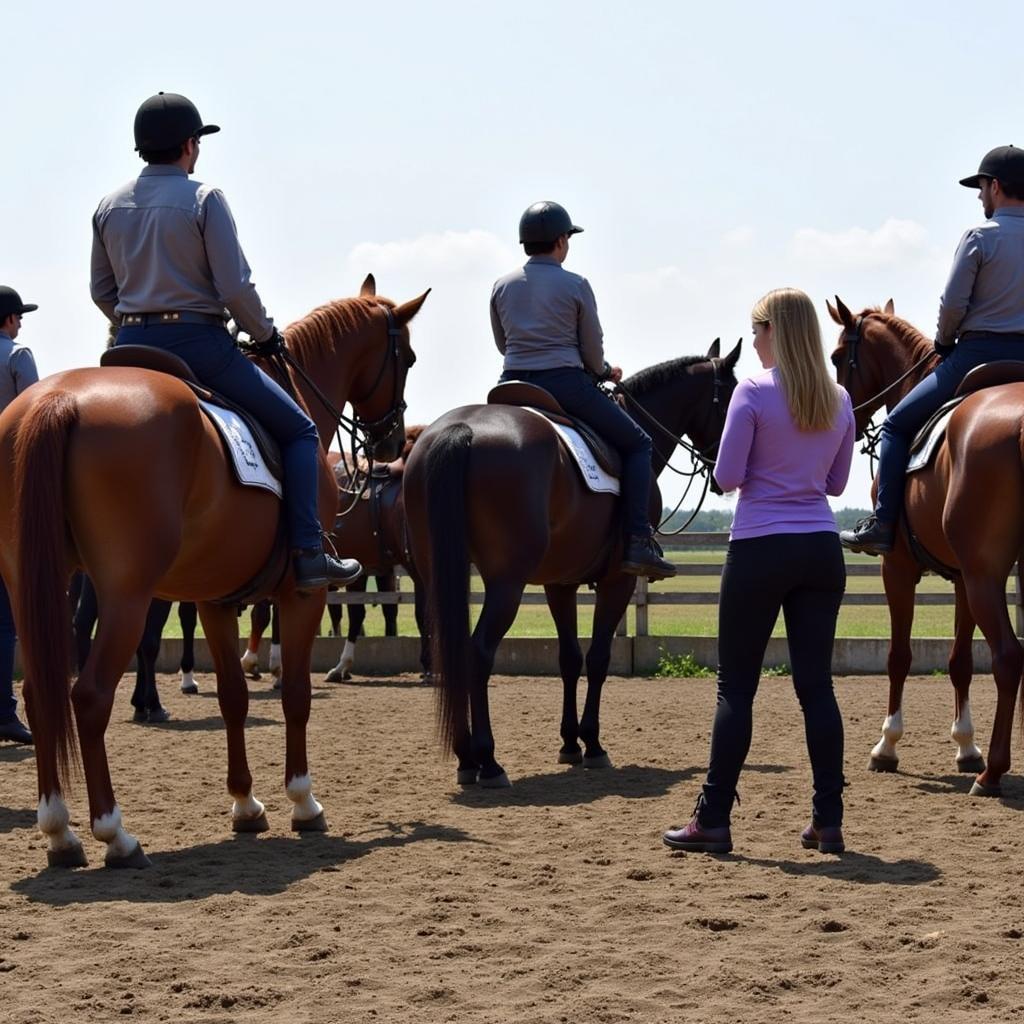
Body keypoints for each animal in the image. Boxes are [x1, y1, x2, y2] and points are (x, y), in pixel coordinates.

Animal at [0, 276, 428, 868]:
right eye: (406, 356)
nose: (388, 441)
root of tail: (57, 399)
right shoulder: (303, 595)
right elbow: (296, 694)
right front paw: (303, 801)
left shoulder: (216, 599)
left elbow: (233, 698)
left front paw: (246, 804)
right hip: (125, 595)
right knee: (88, 697)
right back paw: (114, 832)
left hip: (32, 586)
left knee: (44, 696)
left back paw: (60, 832)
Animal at [403, 339, 741, 786]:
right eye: (732, 397)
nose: (724, 475)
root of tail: (462, 429)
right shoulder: (618, 581)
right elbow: (597, 659)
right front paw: (593, 744)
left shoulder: (559, 583)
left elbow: (568, 658)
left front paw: (569, 744)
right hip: (506, 583)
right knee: (478, 652)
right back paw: (488, 761)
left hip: (439, 573)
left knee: (454, 651)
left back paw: (465, 758)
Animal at [831, 292, 1024, 794]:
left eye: (838, 357)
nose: (845, 420)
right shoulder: (960, 579)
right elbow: (959, 661)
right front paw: (965, 747)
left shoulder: (897, 568)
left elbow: (899, 656)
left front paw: (886, 746)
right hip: (981, 577)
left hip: (985, 575)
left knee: (1008, 657)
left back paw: (992, 773)